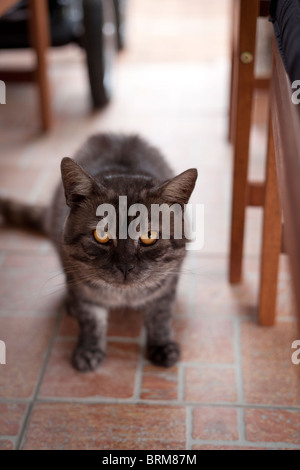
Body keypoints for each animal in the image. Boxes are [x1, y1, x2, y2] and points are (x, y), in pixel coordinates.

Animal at [0, 134, 197, 372]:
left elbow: (160, 315)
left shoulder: (167, 281)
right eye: (101, 234)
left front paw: (162, 345)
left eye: (149, 236)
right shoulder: (83, 287)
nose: (125, 266)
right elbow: (90, 321)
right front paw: (89, 351)